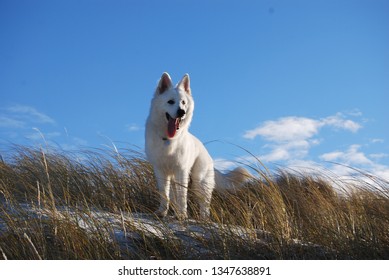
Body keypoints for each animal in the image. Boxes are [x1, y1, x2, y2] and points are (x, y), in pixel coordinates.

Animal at [145, 71, 249, 219]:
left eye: (183, 102)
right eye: (170, 102)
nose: (181, 112)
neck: (169, 139)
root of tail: (208, 154)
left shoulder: (181, 170)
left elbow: (182, 196)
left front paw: (182, 215)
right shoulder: (160, 170)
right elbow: (164, 194)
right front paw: (162, 212)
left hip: (199, 181)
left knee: (204, 206)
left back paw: (202, 219)